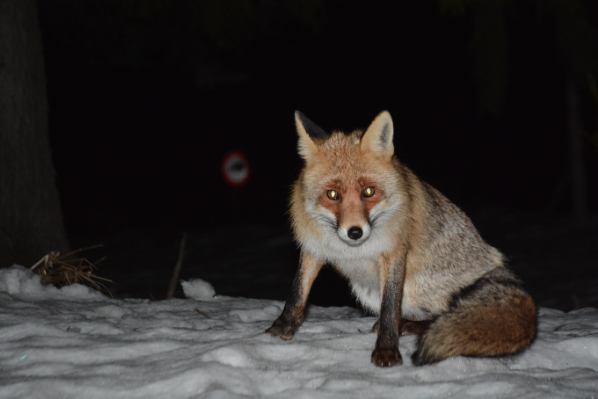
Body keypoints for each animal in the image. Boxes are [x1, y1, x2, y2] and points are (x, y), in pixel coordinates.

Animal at [268, 111, 540, 368]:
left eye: (369, 192)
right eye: (332, 194)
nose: (354, 232)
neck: (351, 249)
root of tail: (497, 265)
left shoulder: (395, 253)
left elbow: (390, 308)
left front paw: (387, 351)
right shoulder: (313, 248)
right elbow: (297, 293)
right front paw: (281, 329)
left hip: (417, 288)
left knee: (445, 314)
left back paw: (411, 326)